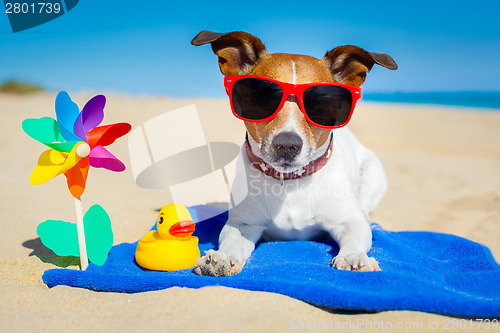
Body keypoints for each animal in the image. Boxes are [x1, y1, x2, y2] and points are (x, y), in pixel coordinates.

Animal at [189, 30, 396, 274]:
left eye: (321, 102)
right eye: (262, 97)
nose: (287, 145)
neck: (290, 183)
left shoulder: (349, 220)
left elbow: (355, 234)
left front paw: (353, 256)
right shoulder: (244, 223)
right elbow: (231, 238)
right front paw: (222, 257)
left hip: (373, 175)